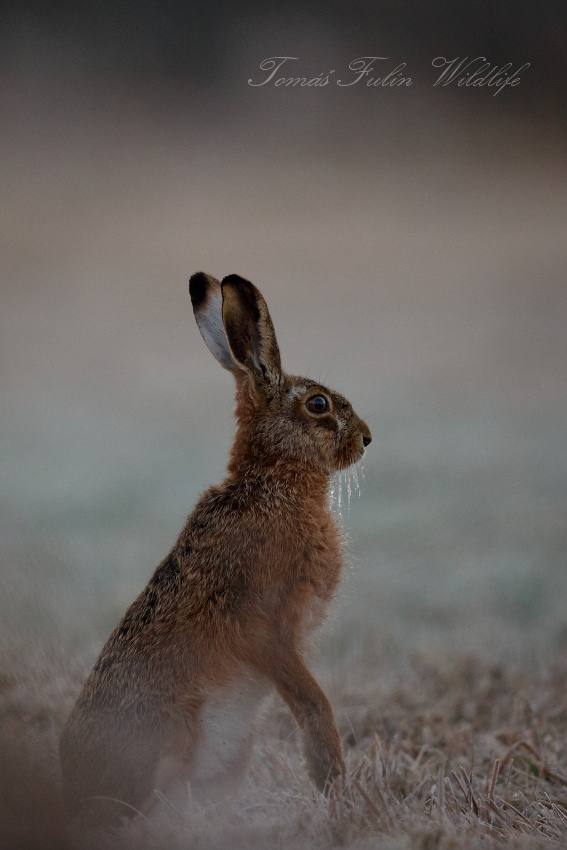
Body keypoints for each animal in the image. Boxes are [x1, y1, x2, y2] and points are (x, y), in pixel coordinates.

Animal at [59, 272, 372, 829]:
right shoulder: (264, 624)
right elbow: (312, 701)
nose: (367, 439)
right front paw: (329, 775)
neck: (273, 482)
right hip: (169, 736)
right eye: (318, 405)